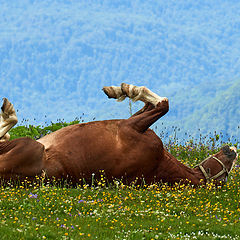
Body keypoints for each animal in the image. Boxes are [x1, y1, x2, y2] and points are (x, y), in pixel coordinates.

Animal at [0, 83, 237, 186]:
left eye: (223, 178)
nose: (232, 151)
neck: (158, 164)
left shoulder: (131, 127)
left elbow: (163, 104)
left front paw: (124, 89)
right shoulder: (134, 123)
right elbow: (156, 104)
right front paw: (119, 90)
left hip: (29, 145)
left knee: (7, 132)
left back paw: (8, 112)